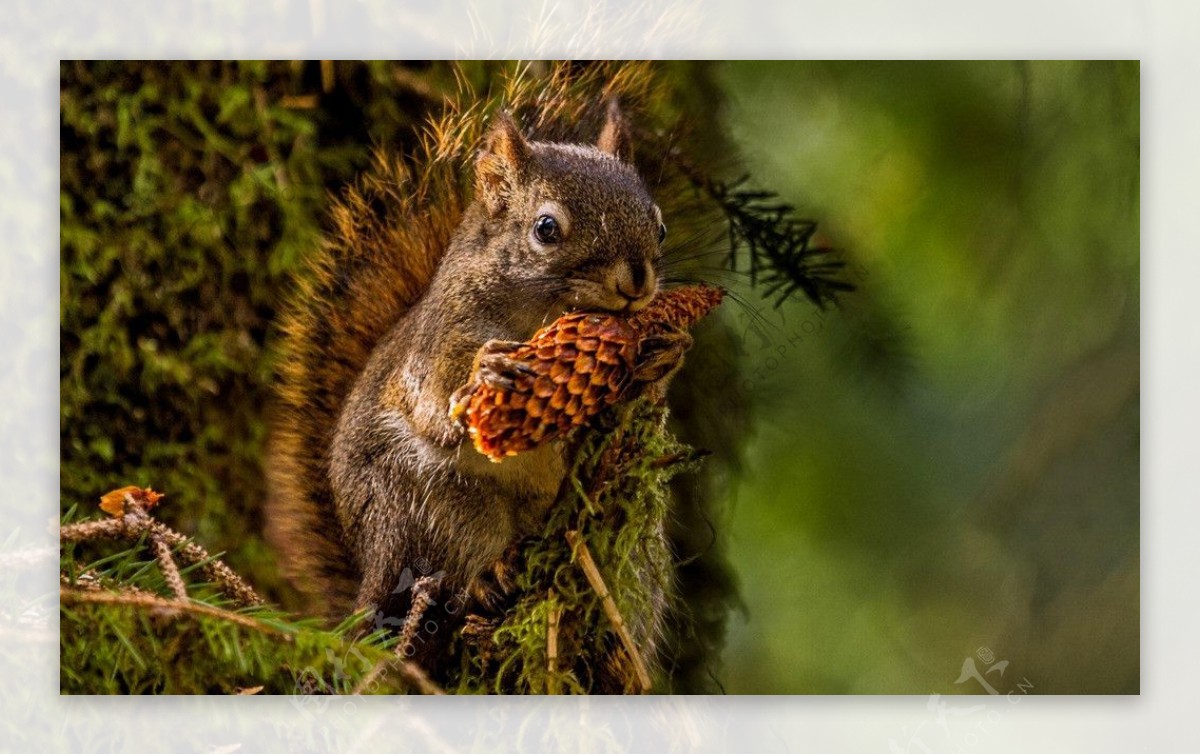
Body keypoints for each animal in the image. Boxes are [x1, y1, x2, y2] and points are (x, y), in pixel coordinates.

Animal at [266, 98, 691, 657]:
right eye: (546, 228)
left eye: (659, 226)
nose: (636, 280)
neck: (540, 316)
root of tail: (367, 573)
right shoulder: (437, 339)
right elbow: (435, 390)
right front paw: (484, 371)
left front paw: (664, 354)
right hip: (426, 503)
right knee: (456, 563)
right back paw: (487, 576)